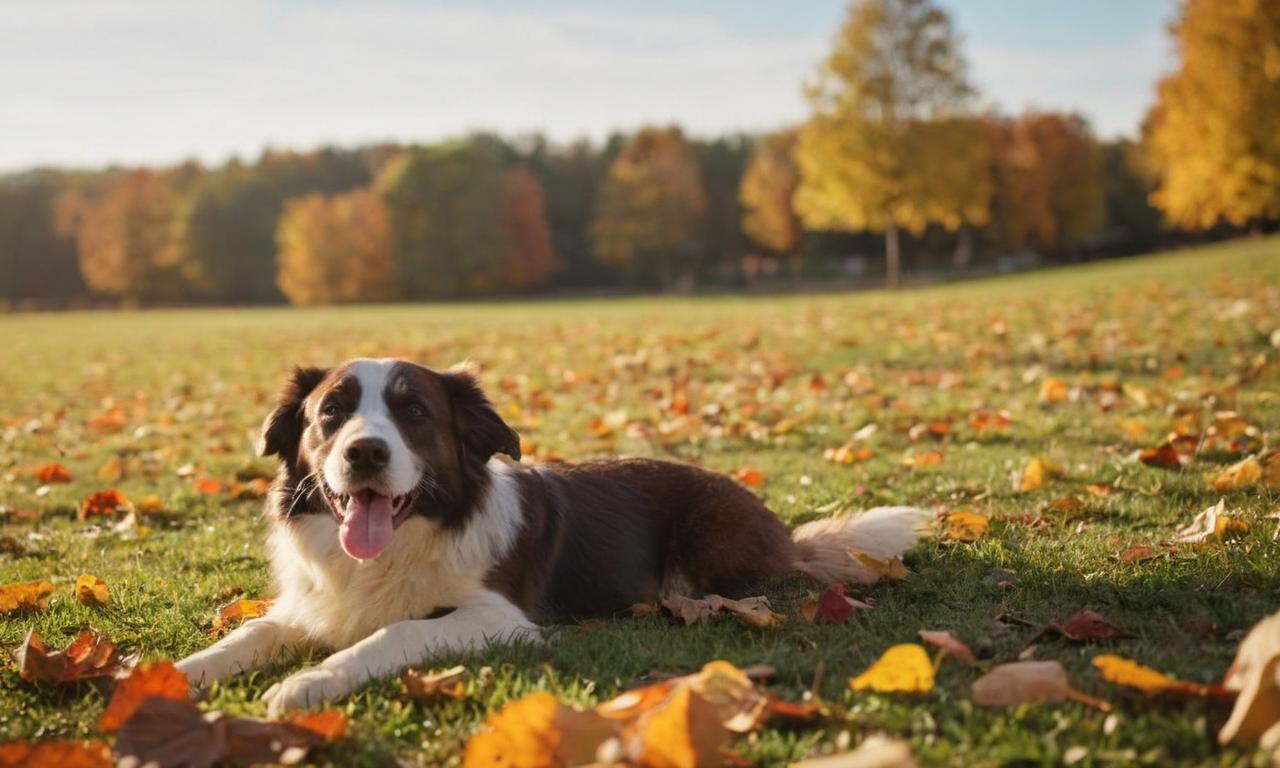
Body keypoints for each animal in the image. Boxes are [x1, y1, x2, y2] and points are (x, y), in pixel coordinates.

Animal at [175, 360, 926, 711]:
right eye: (330, 412)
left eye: (414, 412)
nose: (364, 453)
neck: (404, 541)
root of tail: (782, 529)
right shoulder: (313, 604)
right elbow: (251, 632)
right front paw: (174, 675)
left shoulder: (498, 618)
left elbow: (394, 631)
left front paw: (308, 683)